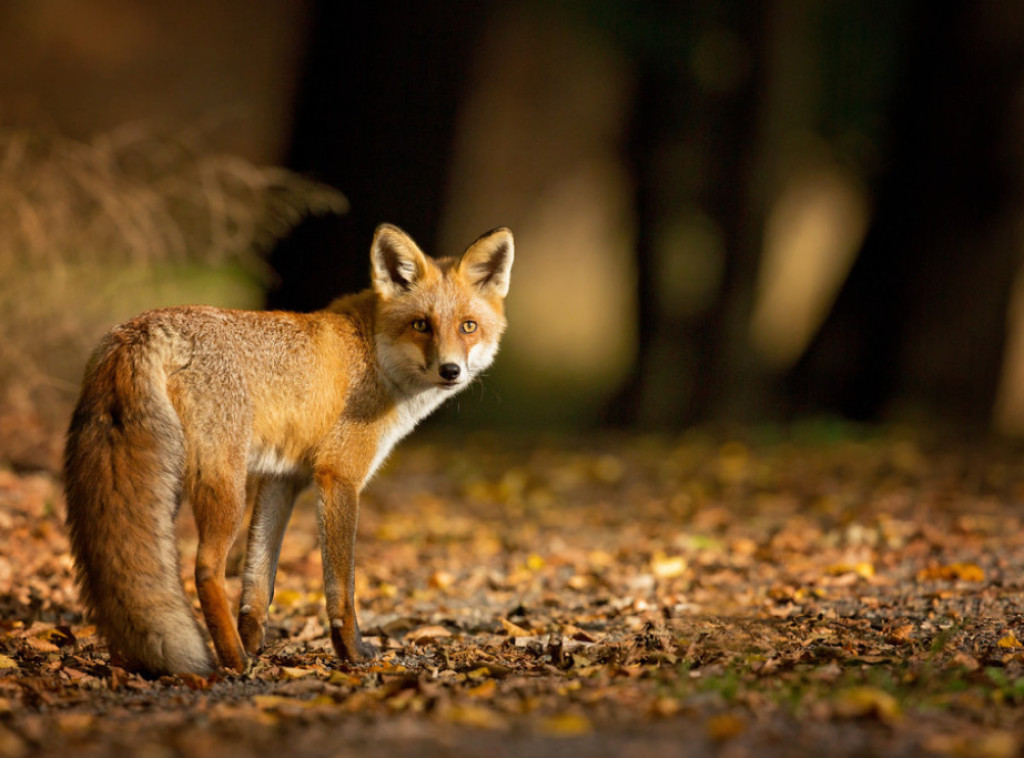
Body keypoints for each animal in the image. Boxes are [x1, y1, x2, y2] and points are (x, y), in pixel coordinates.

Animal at [62, 223, 512, 676]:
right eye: (421, 325)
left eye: (468, 327)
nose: (450, 370)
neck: (373, 354)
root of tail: (141, 329)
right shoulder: (337, 475)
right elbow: (341, 585)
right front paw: (351, 652)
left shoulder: (283, 478)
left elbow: (259, 582)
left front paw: (256, 641)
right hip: (224, 486)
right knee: (205, 570)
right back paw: (233, 661)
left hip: (164, 485)